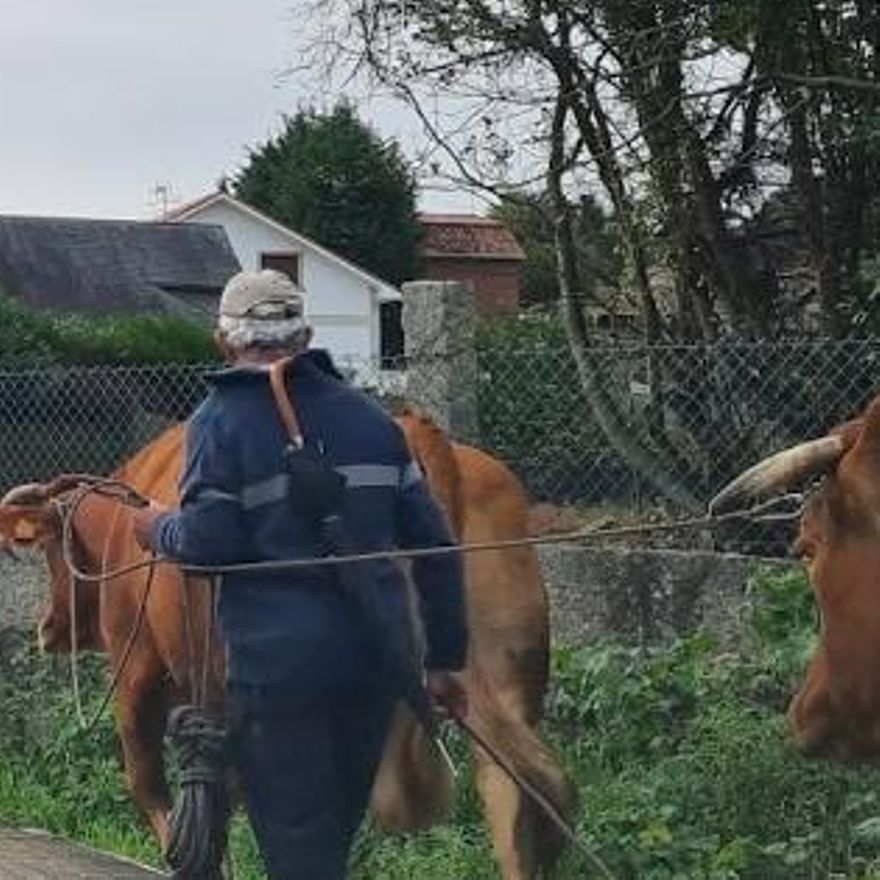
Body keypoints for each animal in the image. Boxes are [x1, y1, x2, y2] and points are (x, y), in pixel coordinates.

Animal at [0, 410, 576, 876]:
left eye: (47, 550)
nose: (47, 627)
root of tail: (418, 431)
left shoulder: (137, 665)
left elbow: (155, 787)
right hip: (499, 672)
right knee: (515, 789)